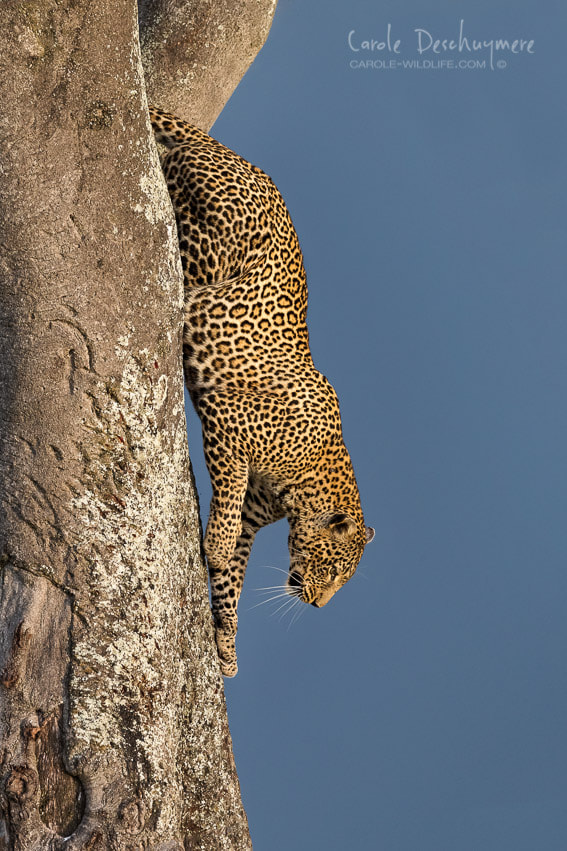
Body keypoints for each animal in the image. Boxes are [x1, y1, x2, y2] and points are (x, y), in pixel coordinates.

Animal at [150, 107, 375, 677]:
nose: (318, 606)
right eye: (333, 571)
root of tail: (230, 154)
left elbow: (234, 576)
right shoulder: (229, 426)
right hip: (207, 248)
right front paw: (214, 543)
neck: (307, 483)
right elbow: (228, 502)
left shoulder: (258, 514)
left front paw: (226, 643)